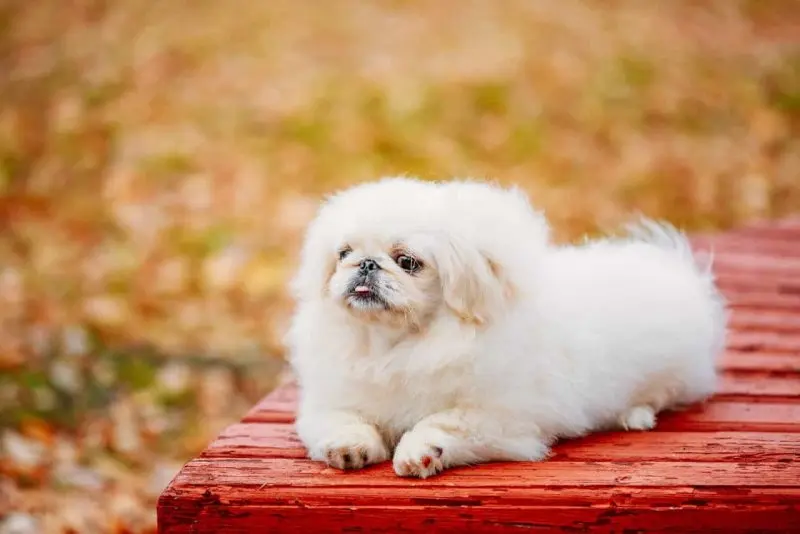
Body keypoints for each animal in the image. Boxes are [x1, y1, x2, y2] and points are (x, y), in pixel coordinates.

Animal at [284, 178, 728, 480]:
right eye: (343, 253)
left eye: (407, 262)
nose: (366, 264)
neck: (398, 346)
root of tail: (674, 270)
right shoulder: (330, 401)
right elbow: (343, 420)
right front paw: (349, 447)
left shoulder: (502, 419)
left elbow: (440, 421)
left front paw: (421, 452)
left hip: (672, 372)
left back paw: (635, 415)